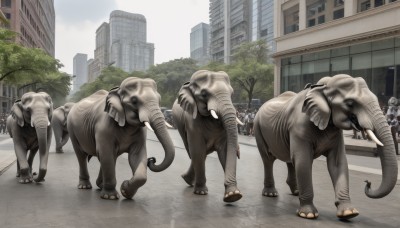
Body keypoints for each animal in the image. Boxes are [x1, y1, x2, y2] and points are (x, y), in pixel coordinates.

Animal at [172, 70, 244, 203]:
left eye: (231, 93)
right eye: (204, 94)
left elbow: (225, 150)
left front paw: (233, 195)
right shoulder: (192, 120)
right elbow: (198, 150)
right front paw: (201, 192)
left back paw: (189, 180)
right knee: (194, 152)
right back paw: (190, 181)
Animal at [255, 74, 398, 219]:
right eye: (350, 103)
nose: (368, 182)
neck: (322, 87)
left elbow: (337, 163)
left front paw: (349, 213)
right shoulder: (298, 128)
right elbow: (303, 161)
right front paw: (308, 214)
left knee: (290, 160)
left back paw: (296, 192)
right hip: (258, 128)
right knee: (268, 159)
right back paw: (271, 194)